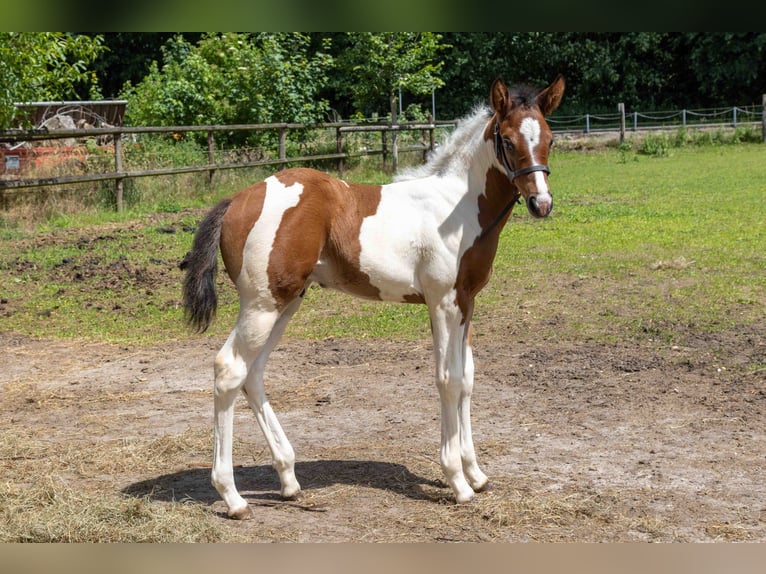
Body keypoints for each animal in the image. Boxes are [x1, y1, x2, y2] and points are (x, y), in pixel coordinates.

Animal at [181, 75, 565, 519]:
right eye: (507, 138)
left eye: (549, 138)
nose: (541, 203)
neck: (457, 208)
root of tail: (237, 200)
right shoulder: (442, 303)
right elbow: (447, 380)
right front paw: (457, 481)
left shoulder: (467, 302)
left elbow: (467, 377)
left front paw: (476, 473)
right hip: (263, 305)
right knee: (229, 369)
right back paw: (232, 496)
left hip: (287, 301)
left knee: (253, 373)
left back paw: (289, 480)